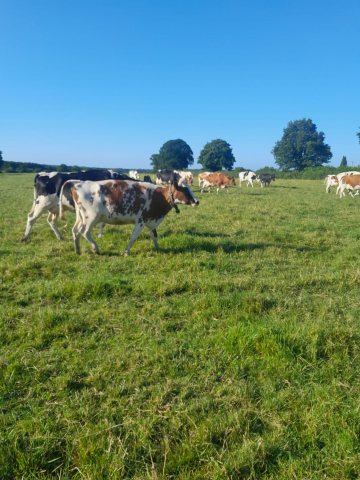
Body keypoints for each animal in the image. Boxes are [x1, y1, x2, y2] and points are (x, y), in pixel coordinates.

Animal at [59, 179, 200, 255]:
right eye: (185, 190)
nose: (197, 201)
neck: (157, 196)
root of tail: (78, 184)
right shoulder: (141, 221)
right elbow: (133, 237)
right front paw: (127, 252)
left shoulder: (151, 221)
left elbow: (154, 236)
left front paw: (158, 249)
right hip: (91, 217)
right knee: (84, 232)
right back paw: (96, 249)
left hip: (81, 217)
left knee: (75, 231)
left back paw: (77, 250)